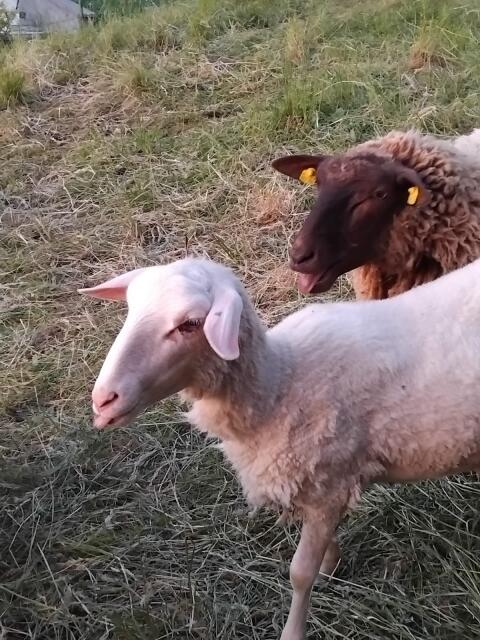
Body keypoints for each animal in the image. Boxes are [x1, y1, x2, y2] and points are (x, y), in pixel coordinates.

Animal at [80, 256, 480, 640]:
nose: (103, 400)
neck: (280, 384)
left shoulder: (330, 484)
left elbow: (299, 573)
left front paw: (294, 628)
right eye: (131, 308)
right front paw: (330, 564)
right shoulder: (312, 483)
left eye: (190, 324)